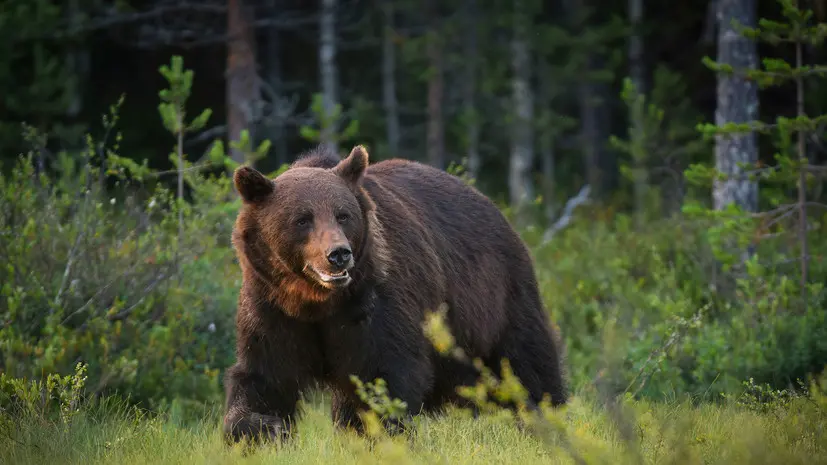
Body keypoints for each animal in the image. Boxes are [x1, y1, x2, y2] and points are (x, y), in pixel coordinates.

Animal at [222, 144, 567, 444]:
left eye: (342, 214)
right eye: (302, 219)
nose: (338, 254)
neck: (317, 301)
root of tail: (491, 205)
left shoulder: (376, 302)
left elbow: (384, 373)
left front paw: (378, 432)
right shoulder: (271, 305)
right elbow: (264, 376)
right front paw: (259, 429)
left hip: (494, 295)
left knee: (525, 359)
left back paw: (546, 418)